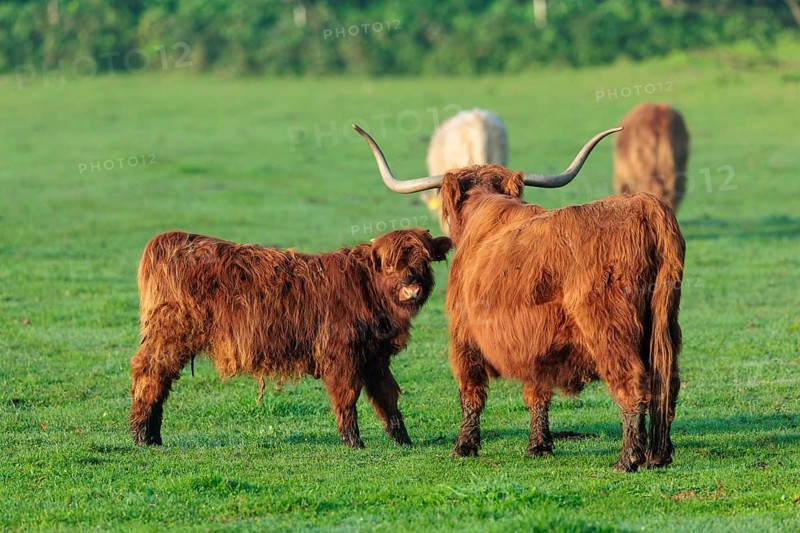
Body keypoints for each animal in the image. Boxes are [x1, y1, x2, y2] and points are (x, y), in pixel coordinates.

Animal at [130, 228, 451, 449]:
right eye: (390, 263)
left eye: (424, 260)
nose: (412, 287)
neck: (367, 289)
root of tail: (171, 238)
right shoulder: (342, 354)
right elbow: (347, 396)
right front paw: (353, 442)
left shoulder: (374, 357)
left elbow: (387, 397)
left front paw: (403, 440)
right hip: (169, 336)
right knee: (149, 374)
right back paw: (143, 436)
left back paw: (152, 435)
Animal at [353, 123, 685, 472]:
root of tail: (642, 205)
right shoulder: (536, 342)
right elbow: (537, 392)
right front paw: (539, 445)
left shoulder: (463, 334)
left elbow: (470, 390)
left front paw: (464, 446)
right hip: (666, 325)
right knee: (667, 383)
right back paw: (658, 454)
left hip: (609, 330)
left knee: (632, 381)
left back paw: (628, 458)